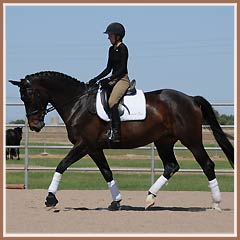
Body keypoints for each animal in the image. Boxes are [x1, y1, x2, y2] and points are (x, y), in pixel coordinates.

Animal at [10, 71, 233, 210]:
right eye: (22, 98)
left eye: (28, 96)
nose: (35, 125)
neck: (77, 104)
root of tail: (191, 98)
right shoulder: (94, 148)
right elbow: (107, 172)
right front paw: (116, 201)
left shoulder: (83, 145)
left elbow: (61, 165)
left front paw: (50, 199)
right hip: (164, 141)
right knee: (171, 166)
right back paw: (149, 198)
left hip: (191, 139)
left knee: (207, 164)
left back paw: (216, 203)